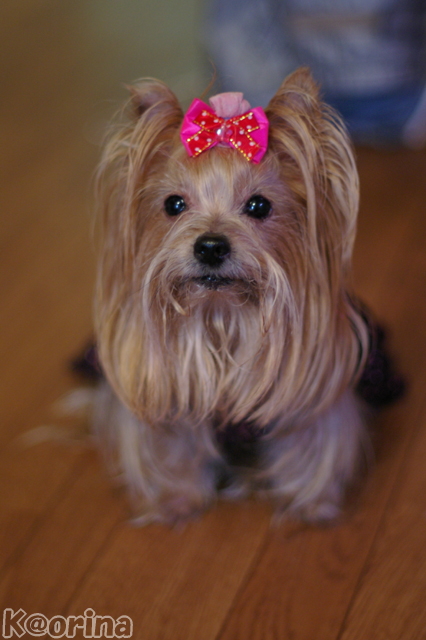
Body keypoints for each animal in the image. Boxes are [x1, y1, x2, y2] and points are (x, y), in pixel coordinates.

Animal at [92, 67, 370, 526]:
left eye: (258, 206)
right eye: (174, 204)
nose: (210, 246)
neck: (221, 315)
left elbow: (312, 444)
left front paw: (310, 503)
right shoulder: (168, 396)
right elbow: (173, 445)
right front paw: (177, 499)